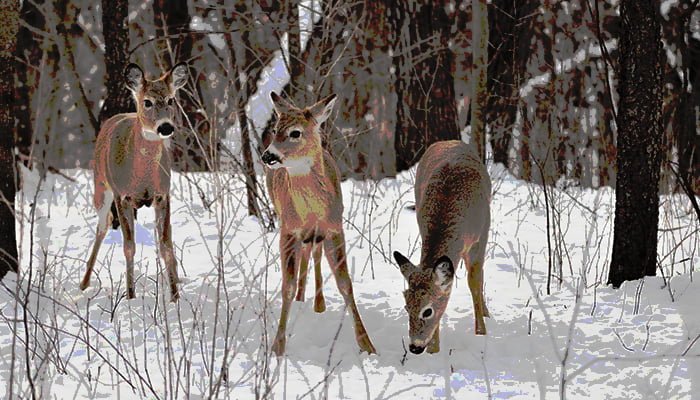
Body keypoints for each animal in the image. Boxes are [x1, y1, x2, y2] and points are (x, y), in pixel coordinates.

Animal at [80, 61, 189, 300]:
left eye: (171, 99)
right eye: (147, 102)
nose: (165, 127)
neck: (142, 176)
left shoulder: (163, 194)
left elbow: (166, 245)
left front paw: (175, 296)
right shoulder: (123, 196)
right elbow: (128, 246)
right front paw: (130, 296)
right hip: (100, 185)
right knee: (103, 224)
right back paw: (84, 283)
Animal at [260, 91, 374, 356]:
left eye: (295, 132)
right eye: (275, 129)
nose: (268, 156)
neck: (311, 213)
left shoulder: (334, 229)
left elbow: (345, 284)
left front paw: (367, 345)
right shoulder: (288, 230)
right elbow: (287, 286)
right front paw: (277, 346)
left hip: (320, 235)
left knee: (315, 253)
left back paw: (319, 305)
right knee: (307, 254)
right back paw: (303, 299)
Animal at [394, 140, 492, 354]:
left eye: (427, 311)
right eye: (406, 307)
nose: (415, 347)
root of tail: (449, 141)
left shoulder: (480, 237)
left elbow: (474, 281)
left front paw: (481, 332)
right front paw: (434, 349)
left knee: (480, 275)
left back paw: (486, 312)